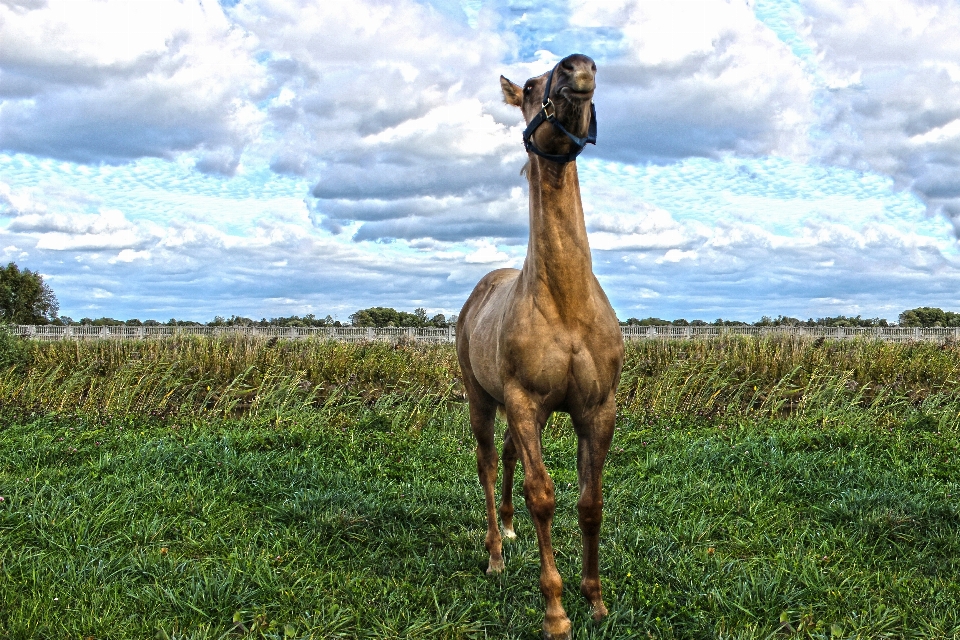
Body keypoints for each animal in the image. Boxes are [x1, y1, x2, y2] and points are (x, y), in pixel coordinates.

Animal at [456, 55, 624, 640]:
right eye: (530, 87)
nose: (579, 69)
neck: (566, 301)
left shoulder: (596, 409)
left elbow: (590, 502)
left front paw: (595, 600)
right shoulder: (525, 402)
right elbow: (543, 496)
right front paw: (555, 611)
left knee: (506, 455)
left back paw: (508, 531)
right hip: (483, 401)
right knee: (487, 462)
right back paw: (494, 553)